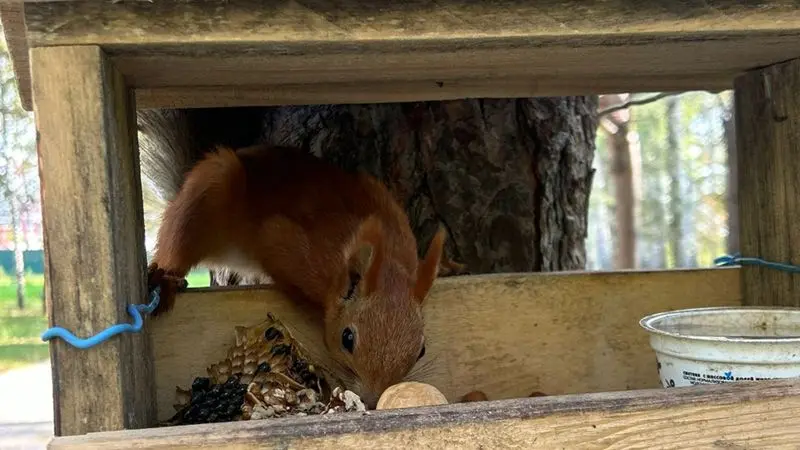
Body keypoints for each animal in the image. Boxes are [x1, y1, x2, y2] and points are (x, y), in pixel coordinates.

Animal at [138, 109, 450, 408]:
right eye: (347, 338)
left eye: (422, 349)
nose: (373, 400)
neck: (389, 259)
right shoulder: (287, 246)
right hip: (206, 193)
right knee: (176, 246)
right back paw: (165, 278)